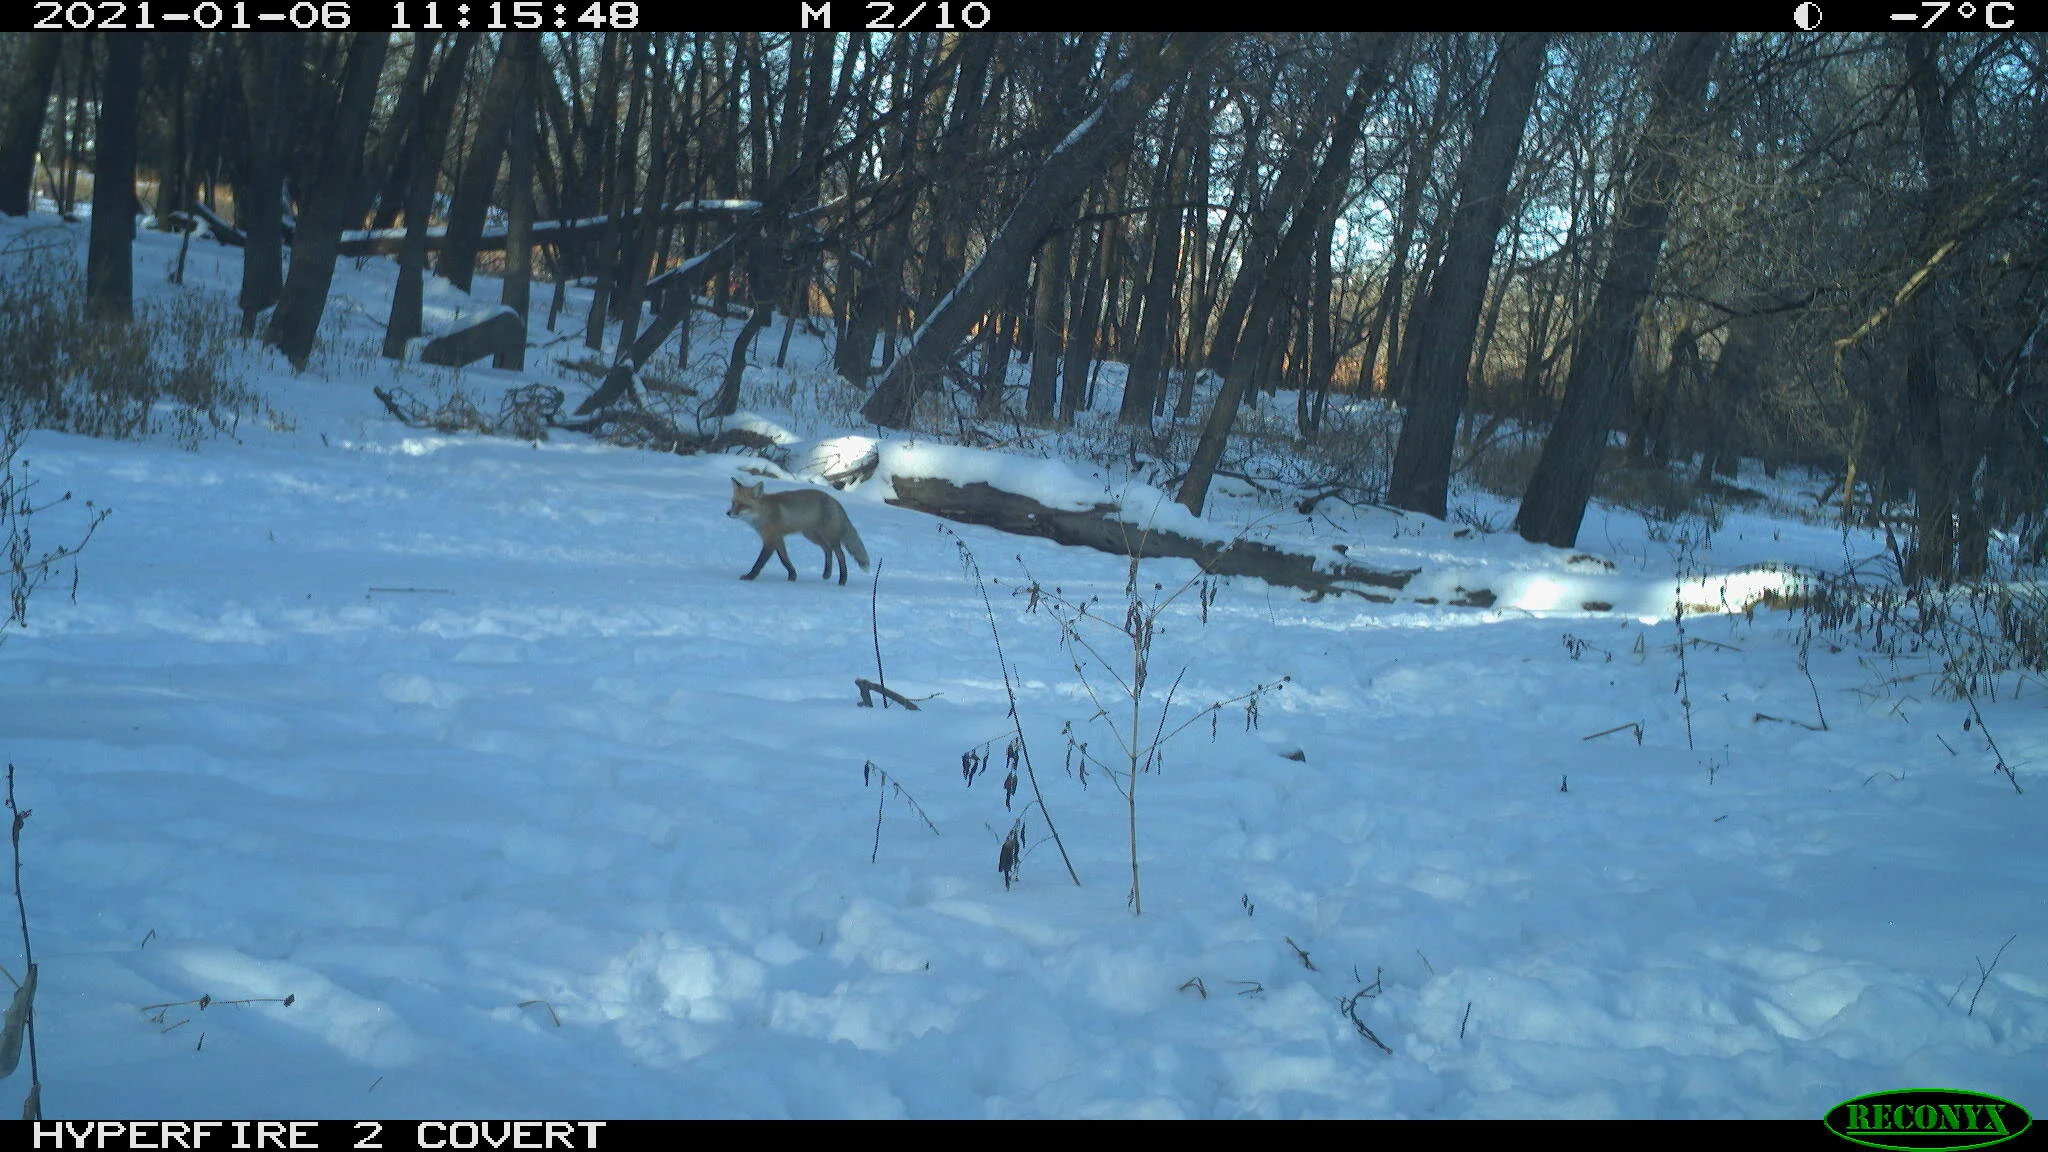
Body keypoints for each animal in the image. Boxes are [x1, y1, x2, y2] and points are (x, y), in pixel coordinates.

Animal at [726, 478, 872, 585]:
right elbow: (784, 559)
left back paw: (842, 580)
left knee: (840, 554)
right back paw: (827, 573)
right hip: (811, 535)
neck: (764, 513)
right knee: (827, 549)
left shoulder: (771, 540)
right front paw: (792, 576)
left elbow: (760, 562)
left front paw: (750, 577)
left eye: (743, 505)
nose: (728, 513)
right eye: (733, 503)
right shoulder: (778, 538)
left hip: (829, 536)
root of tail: (834, 500)